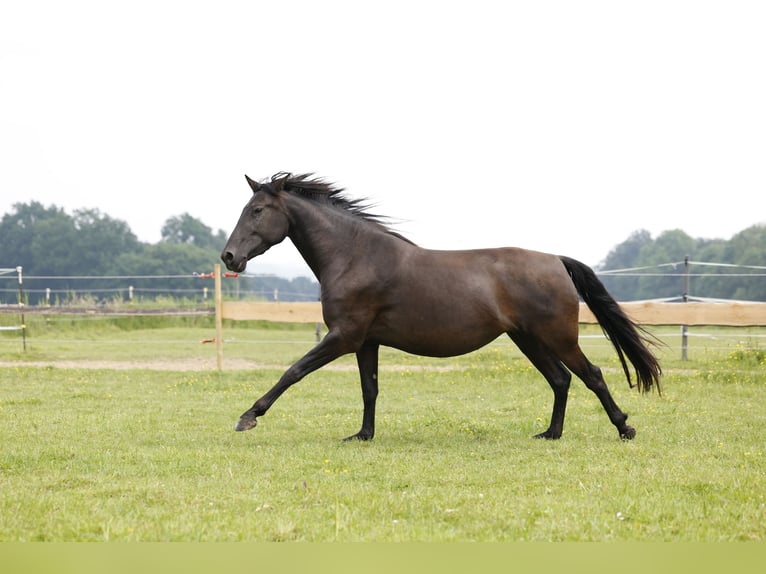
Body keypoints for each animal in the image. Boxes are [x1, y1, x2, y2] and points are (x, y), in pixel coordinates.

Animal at [219, 171, 664, 440]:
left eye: (257, 210)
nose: (229, 257)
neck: (355, 255)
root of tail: (556, 260)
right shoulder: (366, 342)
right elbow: (369, 389)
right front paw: (363, 435)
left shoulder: (343, 337)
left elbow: (293, 371)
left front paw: (248, 416)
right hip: (528, 340)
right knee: (561, 380)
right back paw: (550, 434)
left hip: (557, 337)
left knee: (591, 375)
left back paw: (624, 428)